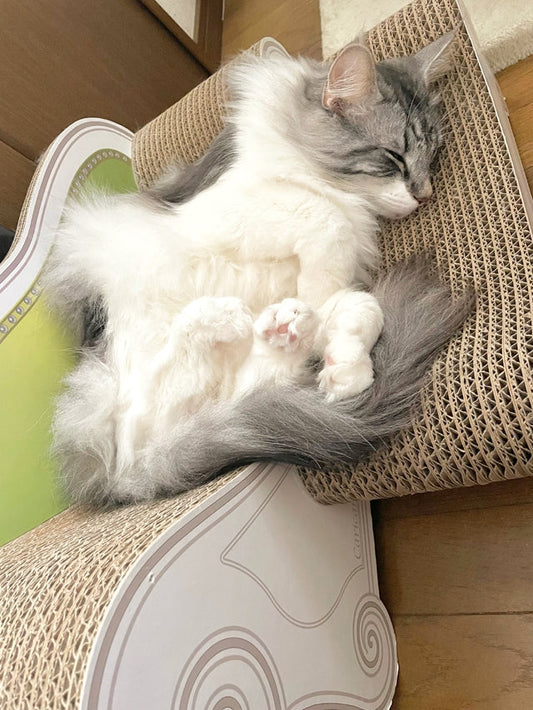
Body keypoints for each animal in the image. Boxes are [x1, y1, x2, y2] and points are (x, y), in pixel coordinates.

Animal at [43, 31, 473, 506]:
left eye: (433, 157)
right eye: (393, 158)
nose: (425, 194)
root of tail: (122, 488)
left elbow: (357, 304)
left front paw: (341, 359)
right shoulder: (222, 213)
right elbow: (325, 216)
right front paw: (322, 285)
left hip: (224, 395)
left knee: (247, 386)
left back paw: (292, 333)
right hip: (136, 362)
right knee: (139, 425)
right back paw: (223, 318)